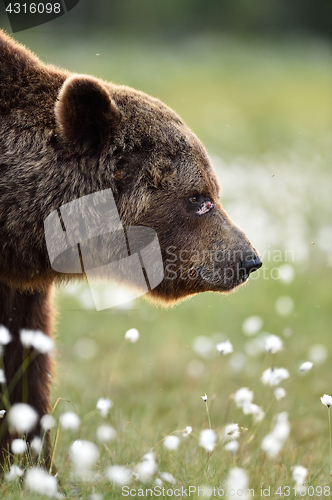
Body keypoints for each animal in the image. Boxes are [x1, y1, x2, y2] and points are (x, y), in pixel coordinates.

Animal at [0, 30, 260, 468]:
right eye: (197, 197)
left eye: (213, 192)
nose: (248, 259)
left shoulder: (19, 287)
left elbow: (24, 359)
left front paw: (30, 459)